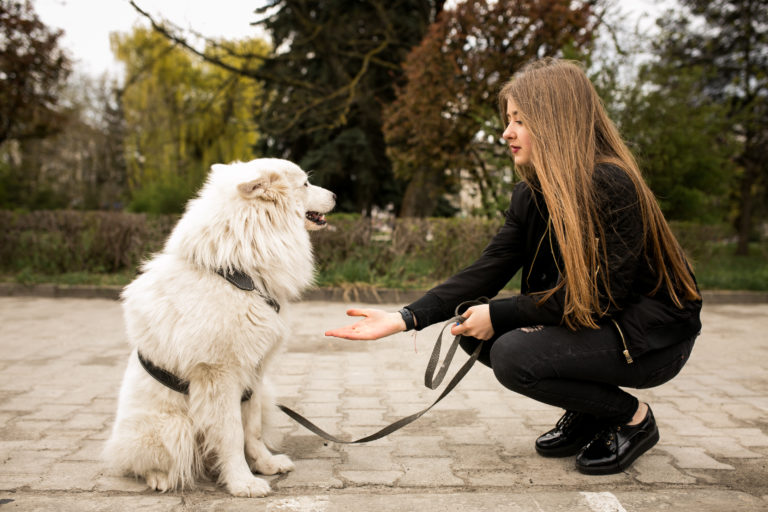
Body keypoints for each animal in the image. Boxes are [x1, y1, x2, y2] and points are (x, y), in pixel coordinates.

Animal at [105, 159, 336, 496]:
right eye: (306, 184)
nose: (336, 196)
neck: (237, 274)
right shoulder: (220, 376)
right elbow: (232, 435)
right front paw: (243, 483)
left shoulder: (255, 374)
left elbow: (252, 429)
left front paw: (265, 465)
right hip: (172, 427)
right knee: (143, 462)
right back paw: (160, 478)